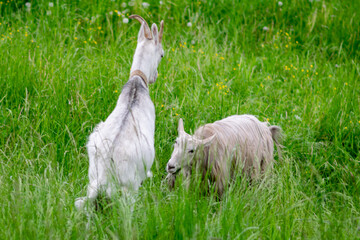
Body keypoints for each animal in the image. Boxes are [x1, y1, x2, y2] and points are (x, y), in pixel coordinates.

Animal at [77, 15, 166, 210]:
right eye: (162, 55)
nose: (154, 77)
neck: (137, 83)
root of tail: (104, 175)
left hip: (92, 175)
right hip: (129, 188)